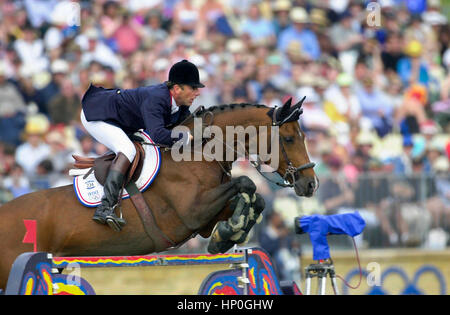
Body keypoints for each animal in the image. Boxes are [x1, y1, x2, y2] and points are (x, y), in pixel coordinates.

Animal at [0, 97, 316, 290]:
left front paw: (227, 235)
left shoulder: (205, 219)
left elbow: (253, 197)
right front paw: (229, 234)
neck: (198, 152)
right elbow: (247, 184)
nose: (311, 184)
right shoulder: (191, 213)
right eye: (289, 138)